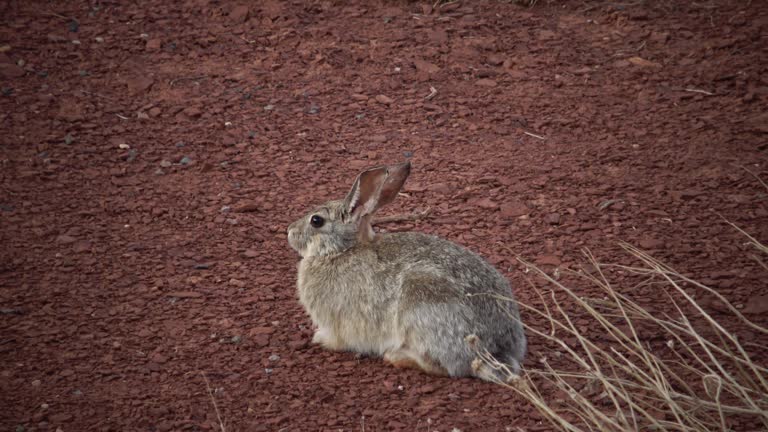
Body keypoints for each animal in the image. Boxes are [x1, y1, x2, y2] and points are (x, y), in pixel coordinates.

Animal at [284, 162, 524, 382]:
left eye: (316, 220)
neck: (343, 249)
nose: (289, 231)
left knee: (443, 367)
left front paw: (319, 338)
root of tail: (493, 352)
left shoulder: (337, 321)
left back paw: (396, 356)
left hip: (421, 308)